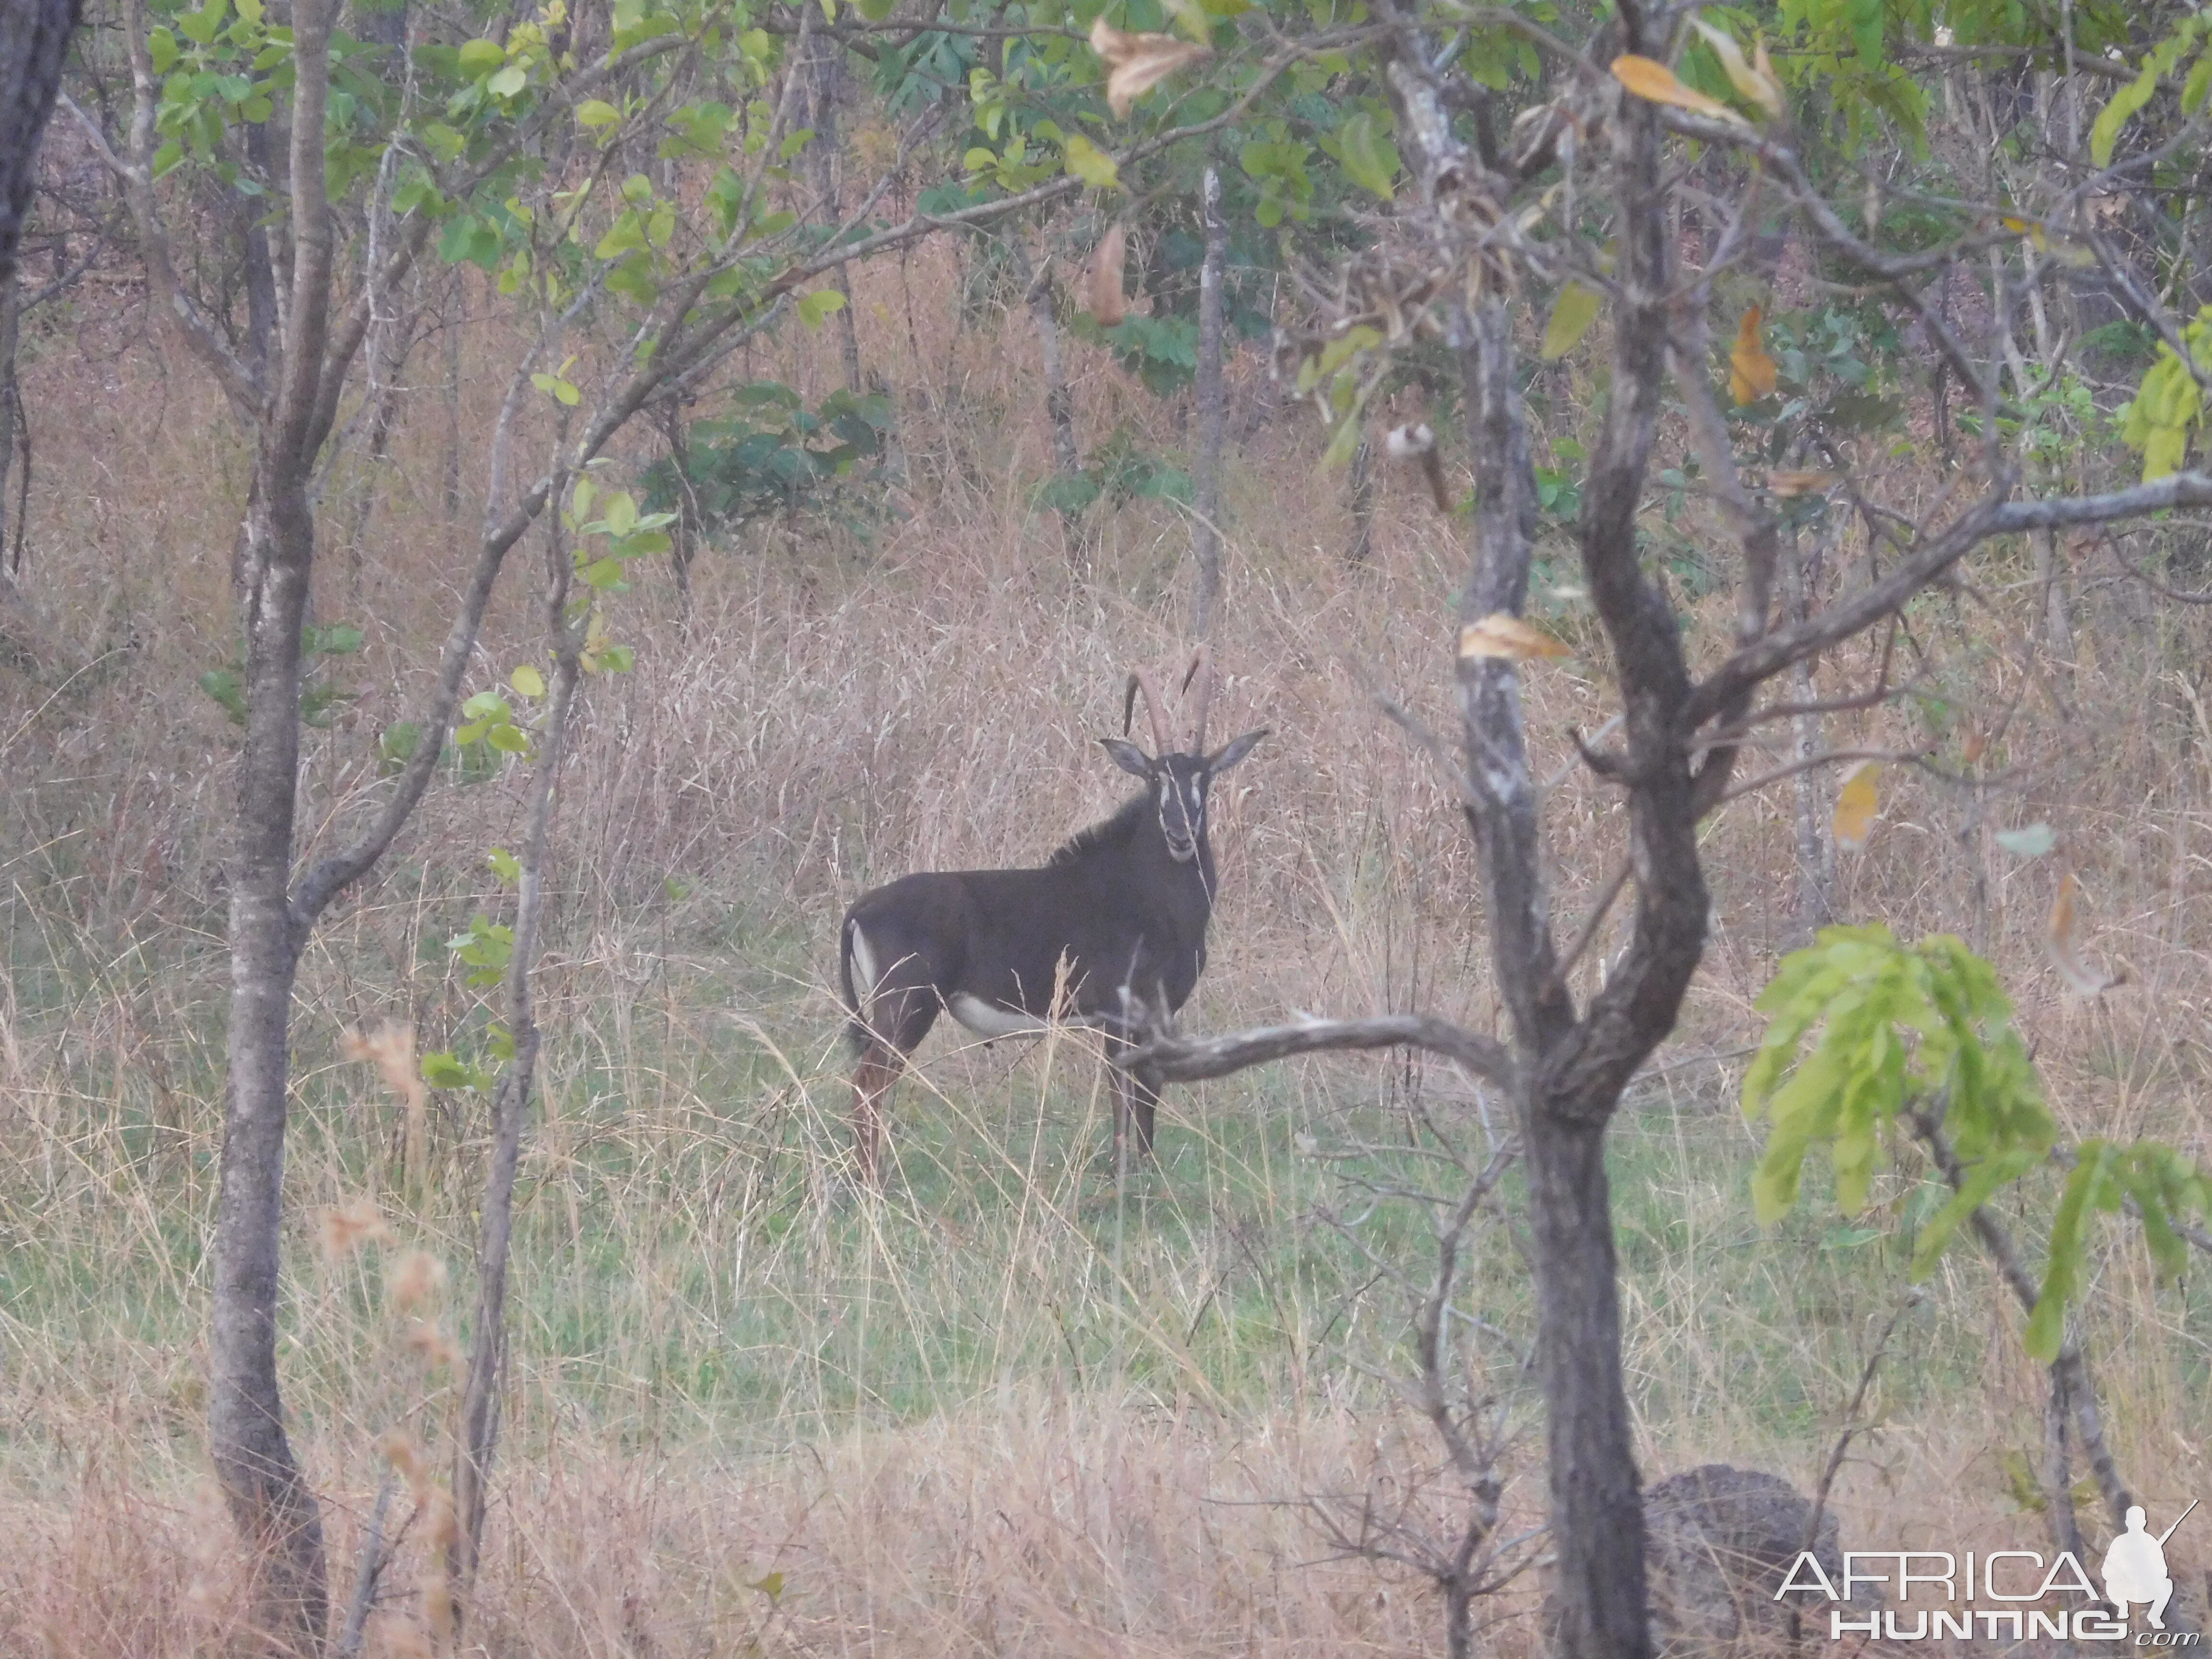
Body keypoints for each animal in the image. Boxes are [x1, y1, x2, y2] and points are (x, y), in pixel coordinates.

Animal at [836, 650, 1274, 1185]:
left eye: (1204, 779)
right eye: (1156, 778)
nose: (1179, 832)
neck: (1147, 893)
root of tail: (862, 908)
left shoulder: (1153, 1017)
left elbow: (1147, 1094)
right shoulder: (1119, 1015)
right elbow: (1124, 1096)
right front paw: (1125, 1177)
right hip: (906, 1008)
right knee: (868, 1084)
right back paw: (870, 1182)